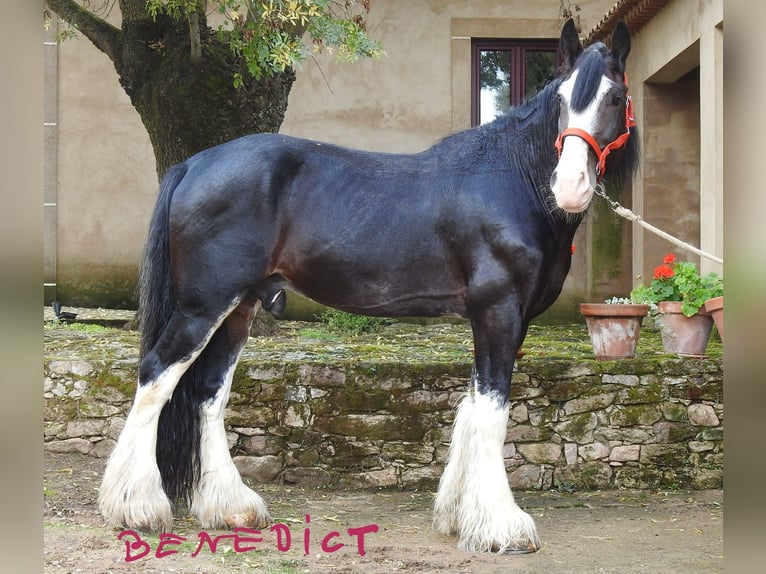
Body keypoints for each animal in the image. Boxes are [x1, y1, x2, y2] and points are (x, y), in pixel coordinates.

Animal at [99, 20, 640, 556]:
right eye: (563, 98)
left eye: (615, 98)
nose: (570, 186)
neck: (512, 181)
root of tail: (194, 164)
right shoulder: (498, 312)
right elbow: (491, 412)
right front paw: (501, 527)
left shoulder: (504, 320)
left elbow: (470, 405)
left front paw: (457, 515)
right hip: (203, 304)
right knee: (155, 377)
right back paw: (135, 506)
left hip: (239, 308)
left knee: (210, 392)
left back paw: (231, 508)